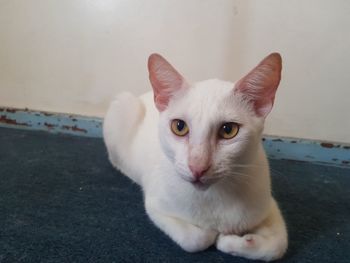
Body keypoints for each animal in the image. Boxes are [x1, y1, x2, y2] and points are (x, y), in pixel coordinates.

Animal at [103, 53, 288, 262]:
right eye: (179, 126)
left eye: (228, 130)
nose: (197, 167)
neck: (214, 196)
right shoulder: (155, 205)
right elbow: (196, 239)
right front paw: (217, 235)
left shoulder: (268, 206)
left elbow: (277, 246)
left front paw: (234, 241)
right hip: (122, 106)